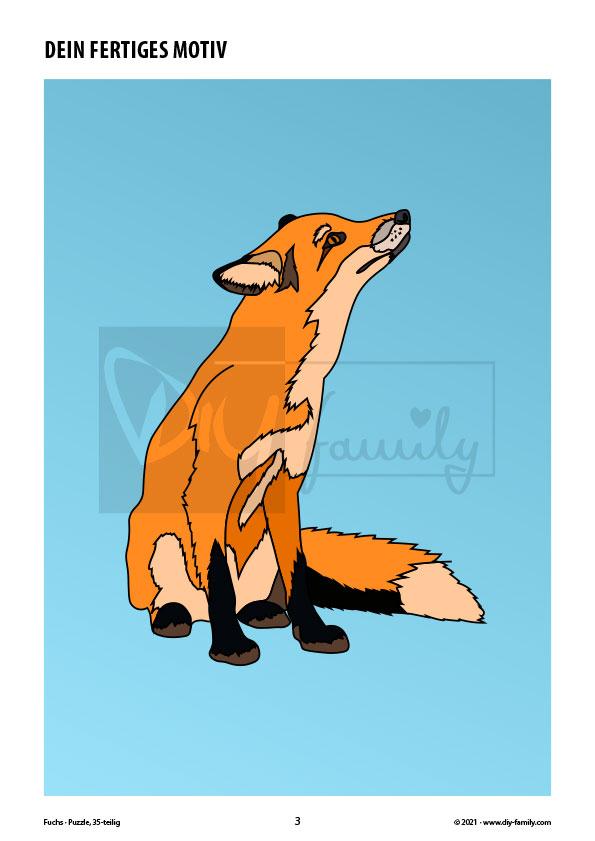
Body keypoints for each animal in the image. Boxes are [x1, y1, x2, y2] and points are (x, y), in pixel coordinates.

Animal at [126, 208, 484, 665]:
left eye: (347, 221)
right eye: (333, 238)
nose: (403, 214)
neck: (284, 380)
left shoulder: (285, 481)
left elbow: (298, 576)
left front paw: (311, 633)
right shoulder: (208, 489)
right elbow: (219, 583)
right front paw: (230, 646)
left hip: (259, 540)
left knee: (256, 594)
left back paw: (262, 612)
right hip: (161, 541)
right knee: (174, 599)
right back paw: (176, 616)